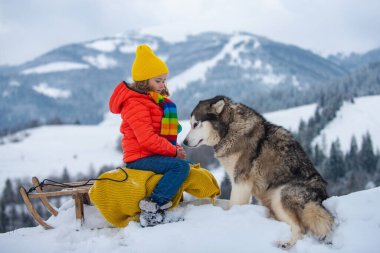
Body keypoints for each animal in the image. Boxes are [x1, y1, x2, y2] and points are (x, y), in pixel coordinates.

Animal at [183, 95, 334, 247]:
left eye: (195, 124)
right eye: (190, 124)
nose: (184, 142)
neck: (229, 128)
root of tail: (321, 197)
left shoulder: (241, 182)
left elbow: (232, 205)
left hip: (279, 197)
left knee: (300, 229)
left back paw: (285, 244)